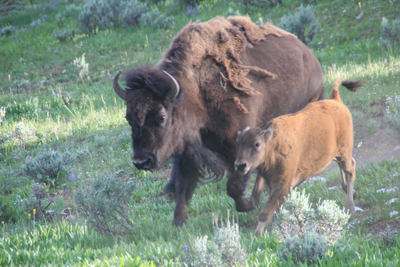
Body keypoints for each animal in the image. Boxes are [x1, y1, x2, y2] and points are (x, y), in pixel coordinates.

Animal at [113, 16, 324, 226]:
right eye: (128, 118)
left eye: (161, 117)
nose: (141, 161)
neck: (196, 93)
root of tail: (311, 57)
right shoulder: (187, 152)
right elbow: (182, 185)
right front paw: (178, 223)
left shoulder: (238, 148)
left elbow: (234, 186)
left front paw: (246, 205)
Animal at [234, 77, 362, 237]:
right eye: (237, 143)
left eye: (257, 144)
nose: (240, 165)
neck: (273, 144)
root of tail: (335, 100)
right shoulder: (271, 184)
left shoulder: (282, 187)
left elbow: (265, 213)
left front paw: (256, 237)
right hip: (335, 154)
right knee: (346, 168)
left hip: (344, 152)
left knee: (350, 171)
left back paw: (349, 208)